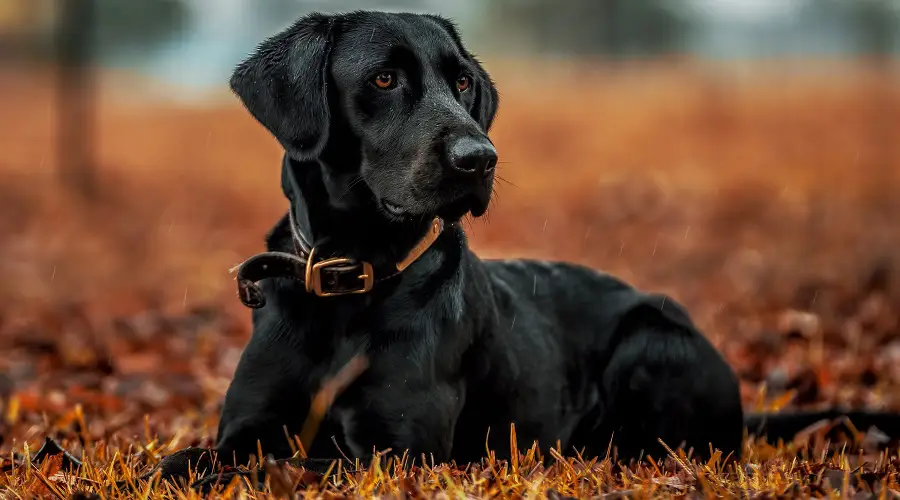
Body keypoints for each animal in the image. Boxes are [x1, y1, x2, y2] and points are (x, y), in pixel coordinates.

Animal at [137, 9, 900, 490]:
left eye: (462, 82)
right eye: (383, 78)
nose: (480, 158)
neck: (349, 282)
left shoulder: (397, 453)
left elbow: (292, 465)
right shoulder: (250, 426)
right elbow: (204, 458)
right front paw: (161, 468)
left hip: (651, 338)